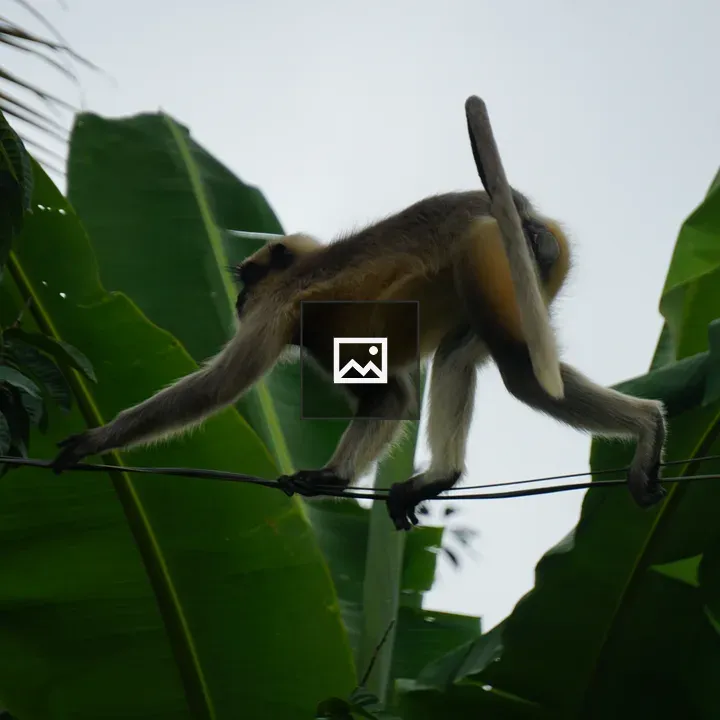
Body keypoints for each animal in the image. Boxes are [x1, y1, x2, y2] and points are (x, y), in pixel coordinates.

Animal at [50, 187, 667, 531]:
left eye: (248, 281)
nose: (239, 298)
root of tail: (525, 213)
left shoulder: (279, 309)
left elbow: (218, 387)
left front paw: (95, 439)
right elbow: (390, 395)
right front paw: (331, 477)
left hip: (496, 256)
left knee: (521, 371)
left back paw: (644, 426)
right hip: (526, 271)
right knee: (459, 358)